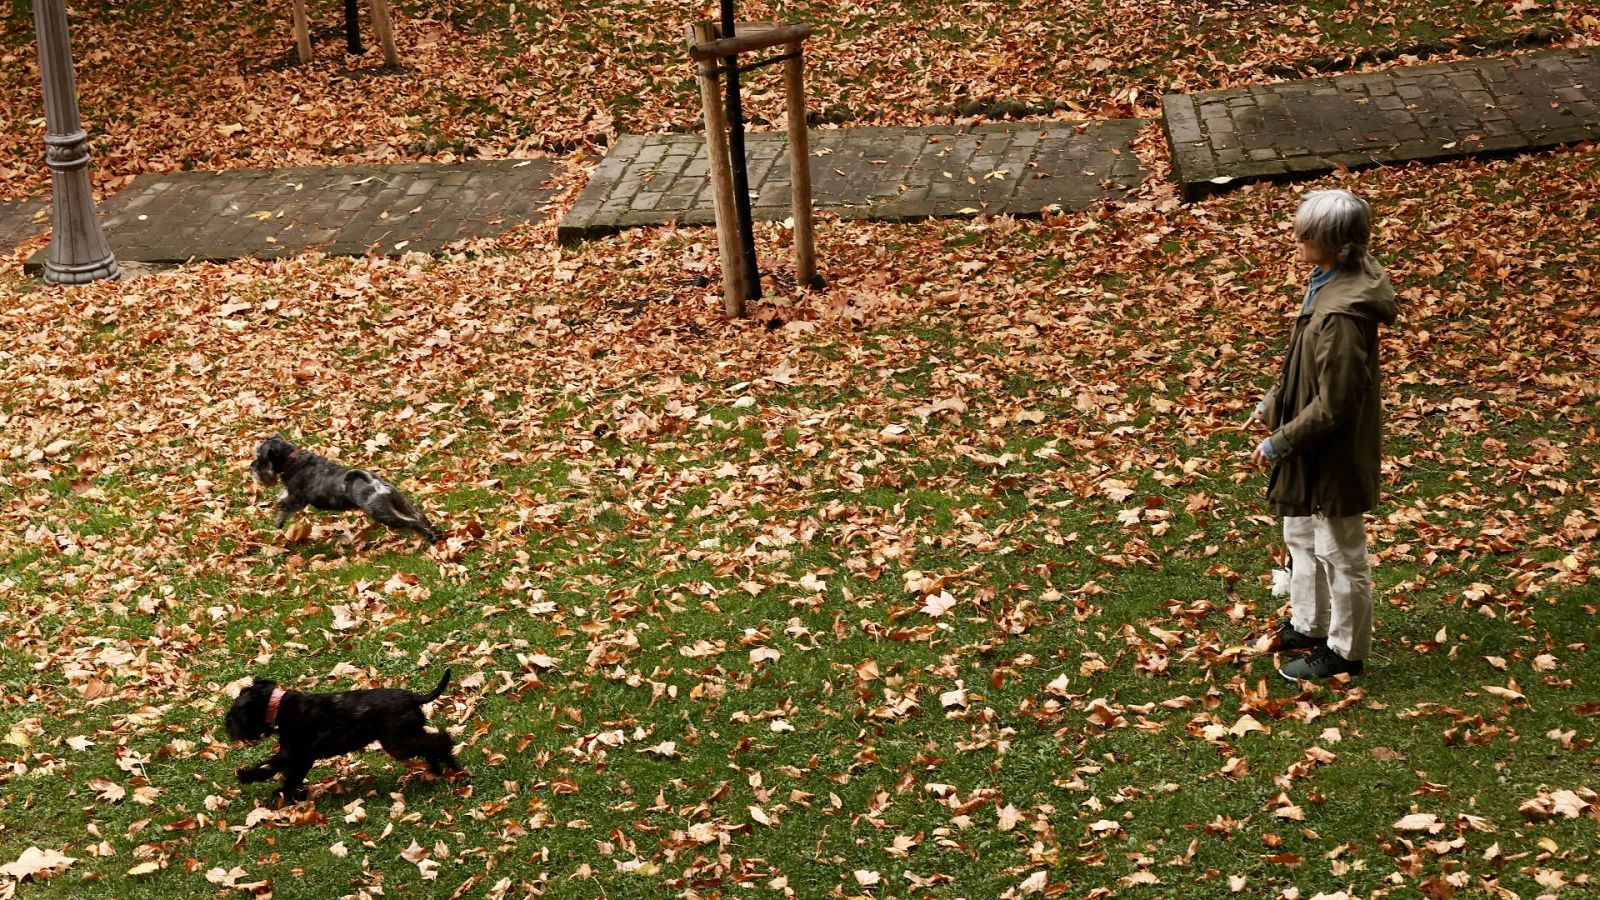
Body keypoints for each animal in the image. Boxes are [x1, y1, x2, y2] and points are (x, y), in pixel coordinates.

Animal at [225, 666, 464, 797]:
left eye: (236, 712)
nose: (227, 727)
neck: (280, 707)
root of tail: (413, 698)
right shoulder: (300, 757)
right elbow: (290, 774)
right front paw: (285, 792)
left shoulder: (293, 753)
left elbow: (269, 767)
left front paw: (248, 777)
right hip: (407, 738)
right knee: (431, 743)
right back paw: (438, 768)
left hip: (398, 743)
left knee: (441, 740)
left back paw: (452, 767)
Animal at [254, 432, 444, 544]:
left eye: (260, 456)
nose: (252, 468)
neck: (292, 459)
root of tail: (374, 482)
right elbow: (282, 497)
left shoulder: (297, 499)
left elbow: (283, 506)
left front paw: (278, 520)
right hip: (400, 501)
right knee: (419, 516)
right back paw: (436, 533)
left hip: (382, 514)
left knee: (412, 523)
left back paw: (429, 538)